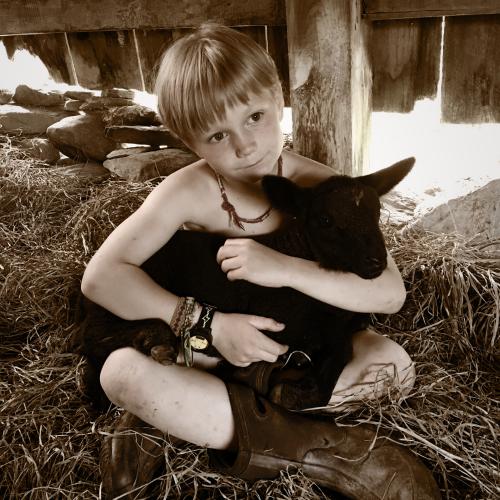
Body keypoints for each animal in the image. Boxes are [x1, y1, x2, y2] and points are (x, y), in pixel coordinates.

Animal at [74, 157, 416, 410]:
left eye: (377, 213)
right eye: (326, 220)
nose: (376, 262)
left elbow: (344, 340)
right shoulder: (286, 326)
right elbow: (338, 348)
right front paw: (294, 394)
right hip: (115, 300)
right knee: (93, 336)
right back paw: (155, 339)